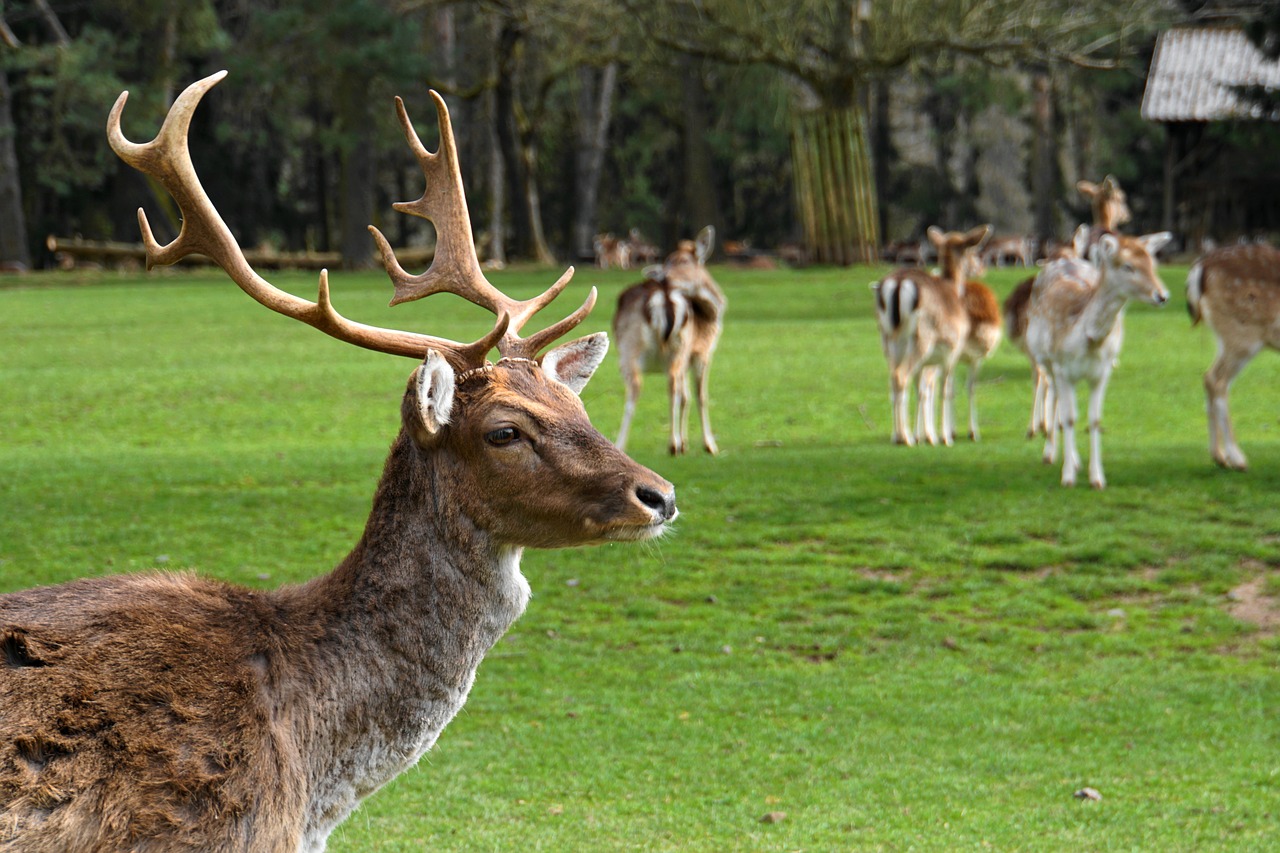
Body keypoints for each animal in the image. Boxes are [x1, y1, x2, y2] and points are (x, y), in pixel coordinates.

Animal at [614, 224, 727, 450]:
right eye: (667, 262)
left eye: (683, 261)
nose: (664, 278)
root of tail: (663, 296)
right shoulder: (702, 351)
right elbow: (701, 395)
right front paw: (709, 445)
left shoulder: (686, 356)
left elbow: (686, 396)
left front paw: (685, 443)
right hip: (645, 347)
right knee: (649, 386)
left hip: (661, 350)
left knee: (664, 385)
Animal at [1018, 229, 1172, 489]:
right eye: (1128, 266)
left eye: (1153, 263)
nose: (1162, 296)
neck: (1089, 342)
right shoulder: (1062, 368)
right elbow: (1070, 418)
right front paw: (1068, 477)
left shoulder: (1102, 371)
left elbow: (1095, 420)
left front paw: (1097, 478)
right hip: (1044, 359)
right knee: (1053, 396)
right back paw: (1050, 453)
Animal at [1182, 240, 1274, 471]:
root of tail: (1200, 267)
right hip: (1243, 334)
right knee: (1217, 380)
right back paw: (1237, 458)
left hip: (1228, 337)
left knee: (1209, 377)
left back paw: (1220, 457)